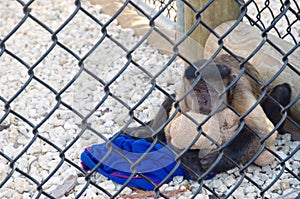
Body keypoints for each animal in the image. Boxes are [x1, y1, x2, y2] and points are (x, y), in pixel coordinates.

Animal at [122, 54, 292, 180]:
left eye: (211, 91)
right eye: (197, 91)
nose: (203, 100)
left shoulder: (239, 91)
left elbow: (262, 132)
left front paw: (217, 161)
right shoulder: (184, 93)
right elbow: (171, 132)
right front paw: (193, 163)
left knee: (283, 90)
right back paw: (150, 133)